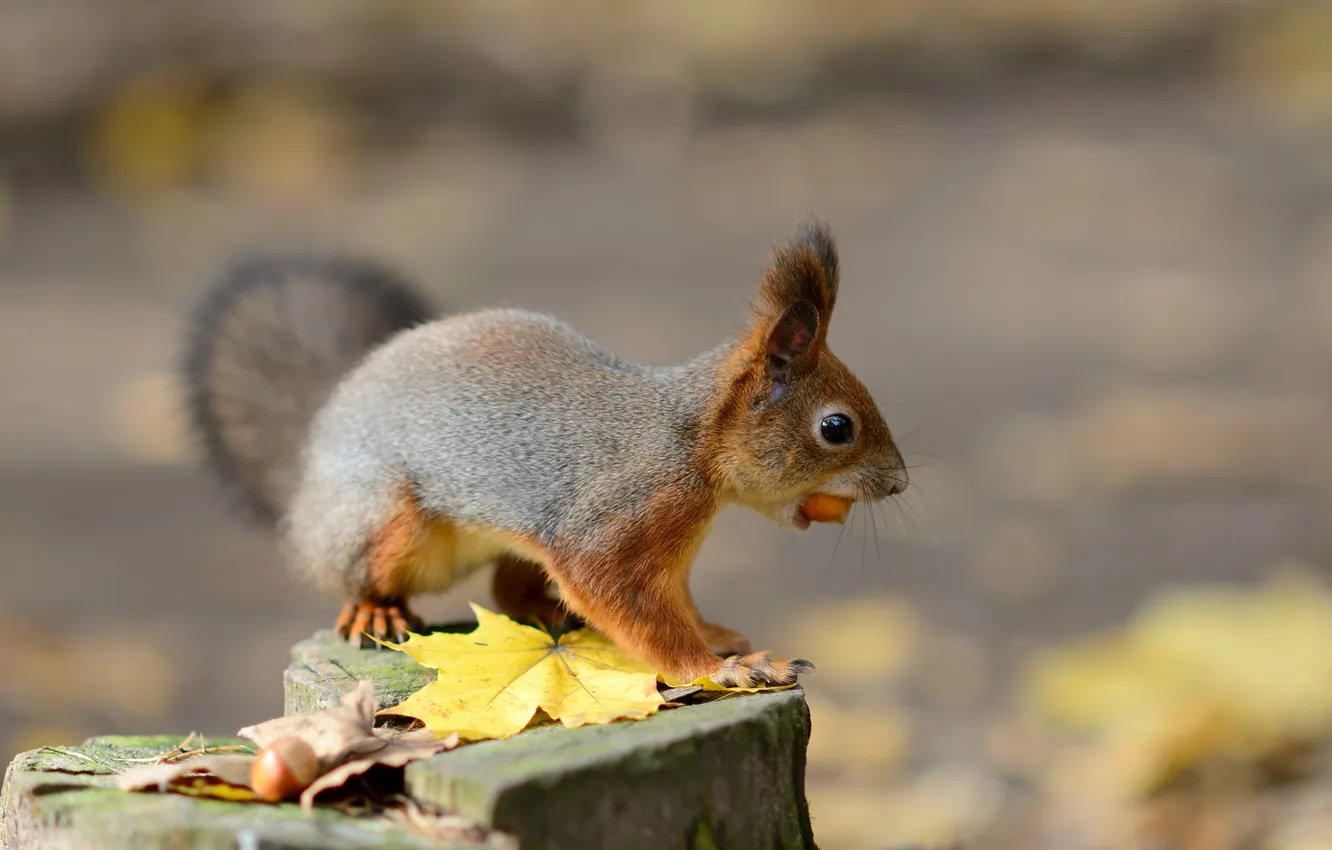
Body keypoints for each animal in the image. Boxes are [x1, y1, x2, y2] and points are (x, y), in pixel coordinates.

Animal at [182, 219, 907, 688]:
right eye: (836, 427)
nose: (899, 483)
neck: (692, 439)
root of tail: (310, 466)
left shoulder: (670, 555)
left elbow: (677, 604)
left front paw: (715, 634)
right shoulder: (621, 518)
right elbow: (628, 602)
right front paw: (718, 667)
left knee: (508, 588)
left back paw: (548, 610)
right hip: (384, 520)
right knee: (356, 571)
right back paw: (375, 609)